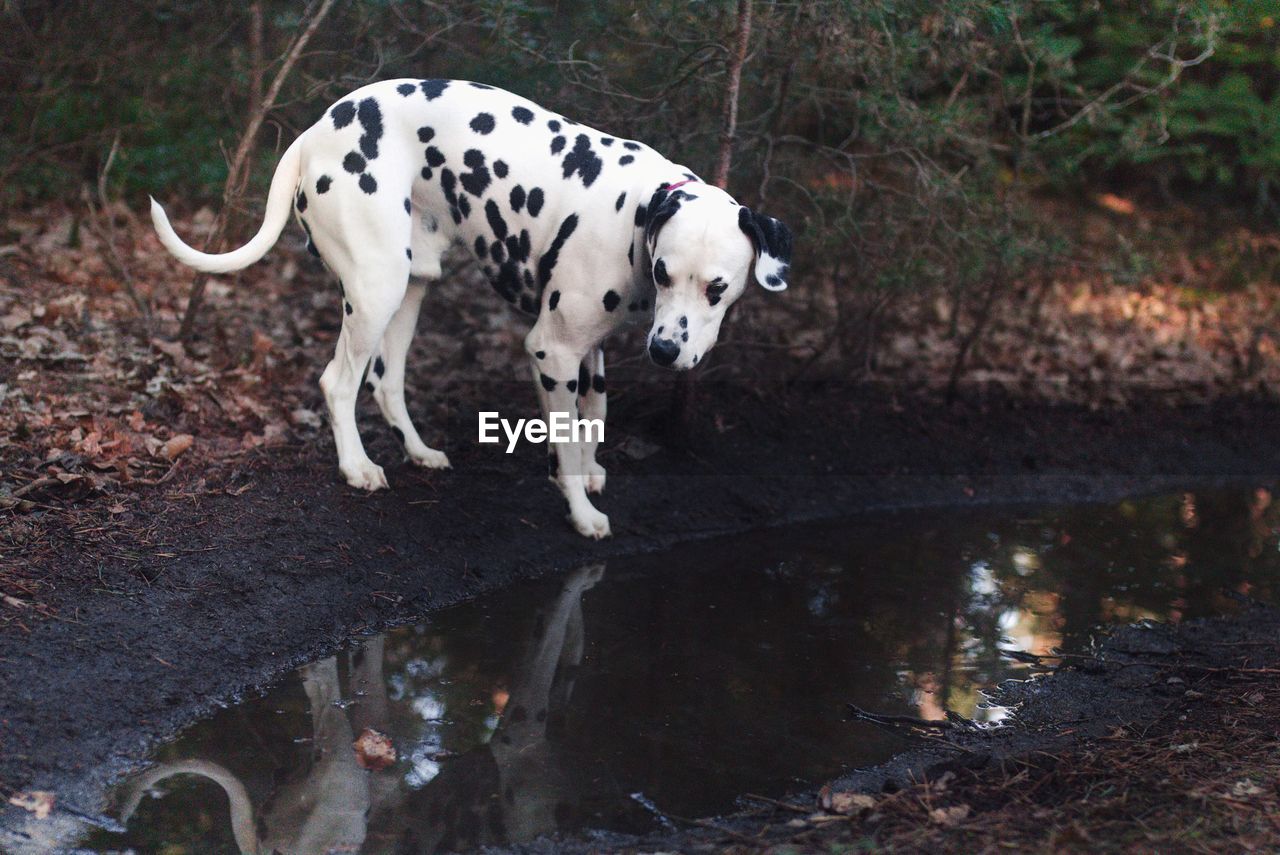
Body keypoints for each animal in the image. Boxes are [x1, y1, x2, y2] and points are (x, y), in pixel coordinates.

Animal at [149, 76, 788, 537]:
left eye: (717, 287)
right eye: (664, 273)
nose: (665, 351)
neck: (635, 213)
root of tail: (313, 131)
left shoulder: (589, 352)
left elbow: (593, 418)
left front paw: (586, 472)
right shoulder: (551, 350)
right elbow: (566, 437)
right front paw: (580, 512)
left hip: (409, 291)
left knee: (386, 381)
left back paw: (419, 452)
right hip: (376, 290)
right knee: (338, 382)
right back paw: (357, 467)